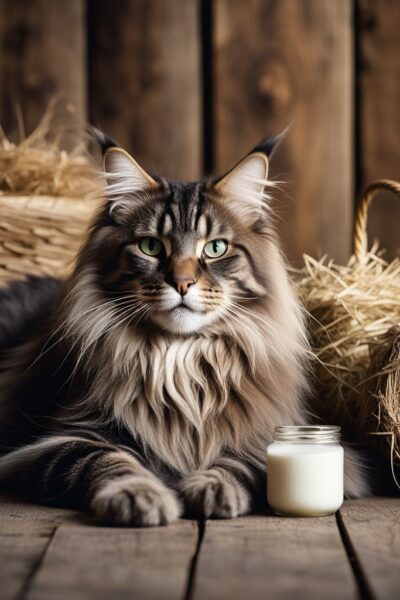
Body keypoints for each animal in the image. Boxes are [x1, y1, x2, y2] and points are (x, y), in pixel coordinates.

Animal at [0, 132, 368, 524]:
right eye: (150, 246)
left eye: (216, 248)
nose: (182, 283)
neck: (179, 358)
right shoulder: (59, 439)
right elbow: (107, 461)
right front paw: (139, 497)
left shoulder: (266, 436)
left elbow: (242, 463)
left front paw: (213, 489)